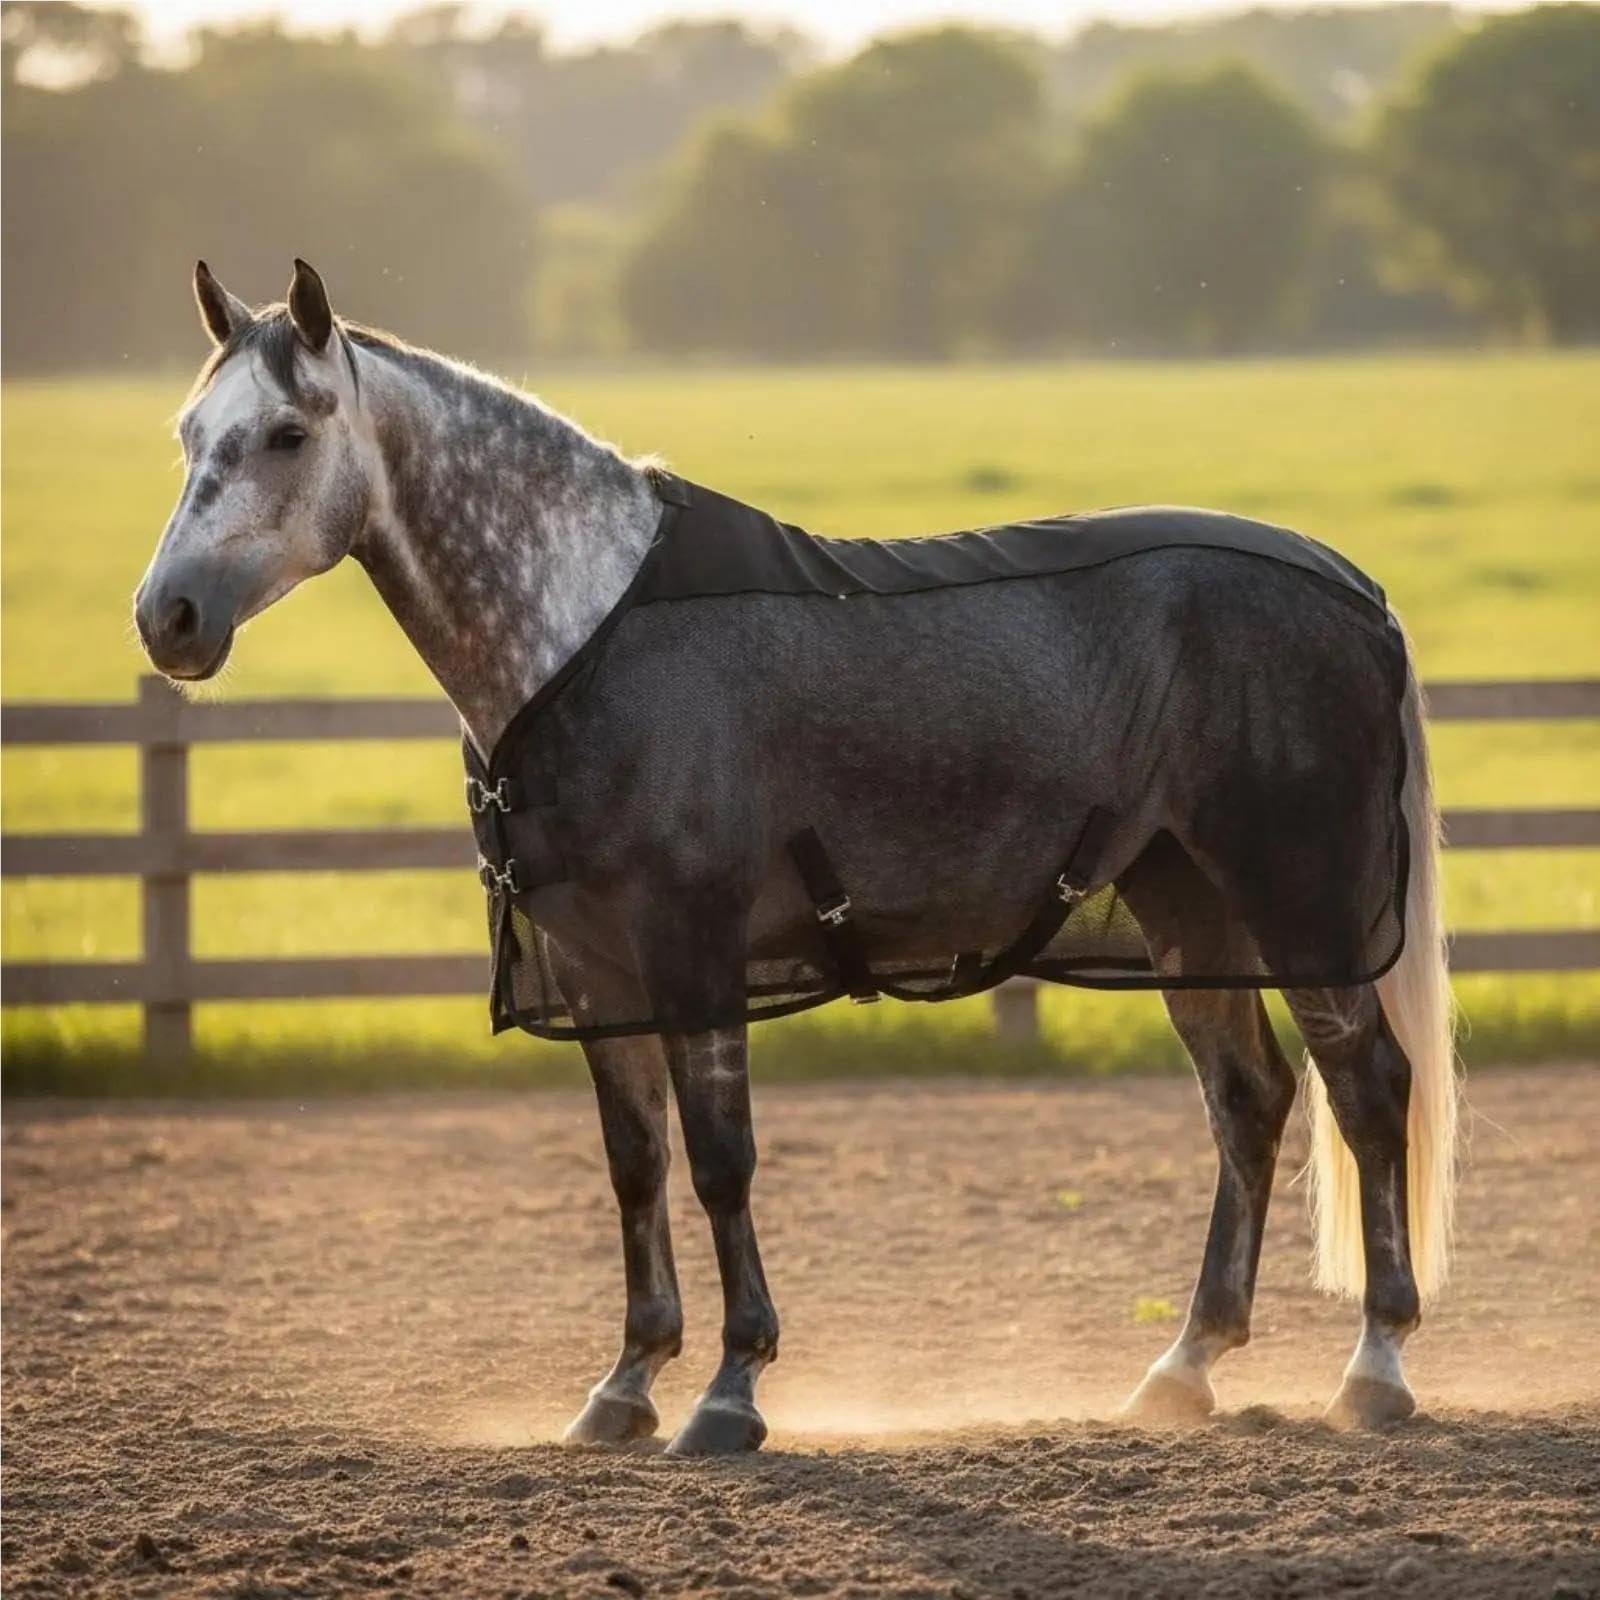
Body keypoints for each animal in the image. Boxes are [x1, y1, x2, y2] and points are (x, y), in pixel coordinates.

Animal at [134, 259, 1458, 1455]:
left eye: (287, 433)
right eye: (189, 432)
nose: (168, 619)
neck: (588, 632)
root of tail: (1355, 592)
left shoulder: (694, 950)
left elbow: (721, 1159)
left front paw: (730, 1390)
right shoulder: (600, 973)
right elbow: (635, 1165)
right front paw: (625, 1385)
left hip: (1303, 905)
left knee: (1366, 1090)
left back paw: (1376, 1366)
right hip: (1187, 906)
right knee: (1249, 1101)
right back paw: (1184, 1367)